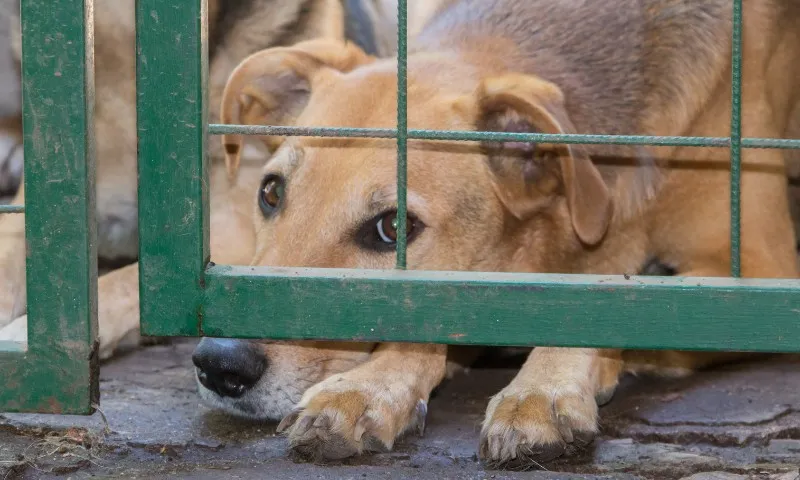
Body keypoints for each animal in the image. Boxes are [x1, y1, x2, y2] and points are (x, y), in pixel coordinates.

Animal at [192, 0, 800, 468]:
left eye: (394, 227)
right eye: (271, 193)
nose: (221, 362)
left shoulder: (756, 274)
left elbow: (619, 296)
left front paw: (542, 389)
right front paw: (367, 387)